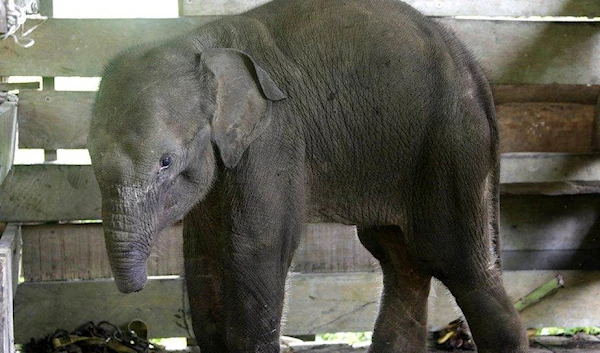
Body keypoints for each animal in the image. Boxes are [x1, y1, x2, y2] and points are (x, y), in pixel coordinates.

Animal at [86, 0, 528, 350]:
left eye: (165, 161)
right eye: (89, 154)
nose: (134, 307)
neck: (200, 43)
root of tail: (474, 68)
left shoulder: (275, 137)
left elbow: (254, 248)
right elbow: (202, 255)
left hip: (453, 145)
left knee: (457, 261)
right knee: (400, 260)